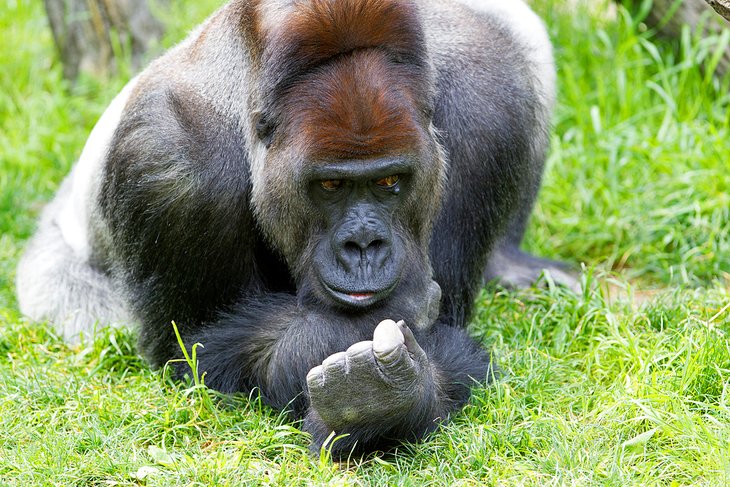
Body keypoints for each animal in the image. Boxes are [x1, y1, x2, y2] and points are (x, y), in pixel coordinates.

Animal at [15, 0, 576, 454]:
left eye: (390, 181)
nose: (364, 245)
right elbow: (196, 353)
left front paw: (386, 404)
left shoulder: (484, 112)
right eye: (329, 186)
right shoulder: (167, 161)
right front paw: (372, 393)